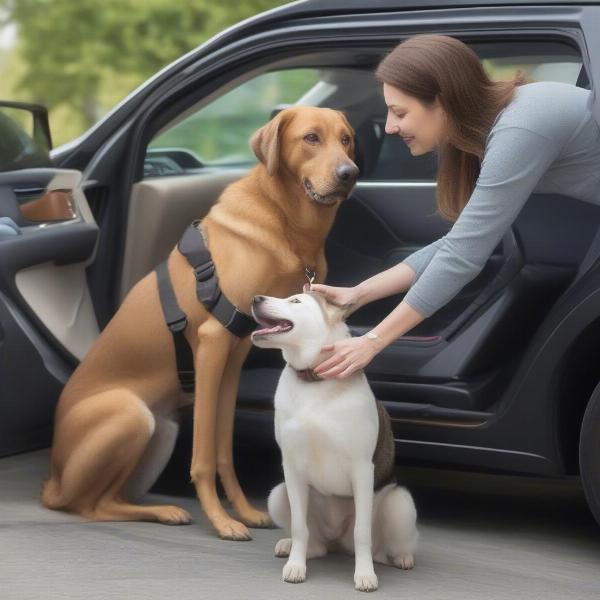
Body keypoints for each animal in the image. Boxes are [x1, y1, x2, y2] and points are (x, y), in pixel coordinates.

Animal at [43, 106, 360, 540]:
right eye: (311, 138)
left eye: (346, 140)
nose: (350, 173)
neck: (285, 222)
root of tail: (53, 478)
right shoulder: (212, 346)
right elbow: (205, 456)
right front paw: (222, 520)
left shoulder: (234, 359)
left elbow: (224, 450)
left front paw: (243, 510)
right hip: (130, 414)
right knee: (89, 506)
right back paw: (161, 510)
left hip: (161, 430)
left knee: (108, 499)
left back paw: (163, 511)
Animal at [250, 290, 418, 592]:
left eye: (295, 301)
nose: (255, 298)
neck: (315, 382)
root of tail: (337, 542)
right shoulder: (292, 468)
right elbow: (299, 527)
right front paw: (296, 566)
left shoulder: (362, 469)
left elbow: (362, 531)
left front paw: (365, 575)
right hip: (278, 494)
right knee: (315, 543)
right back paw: (293, 547)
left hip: (400, 503)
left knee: (386, 545)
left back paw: (400, 557)